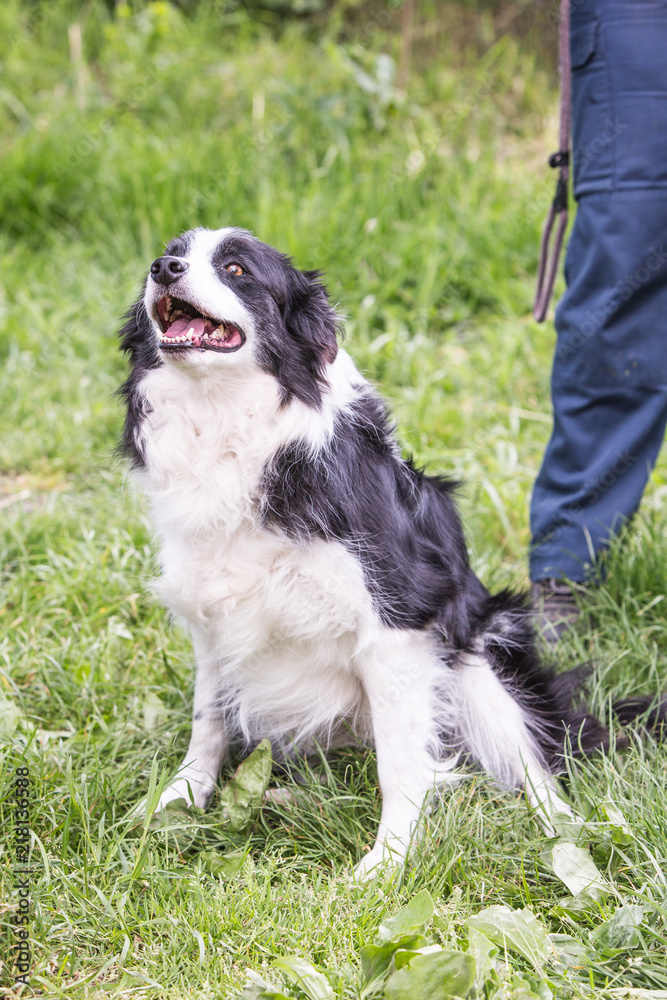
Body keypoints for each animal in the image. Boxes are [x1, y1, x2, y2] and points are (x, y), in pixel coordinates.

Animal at [117, 225, 620, 876]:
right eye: (173, 252)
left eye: (235, 269)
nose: (163, 269)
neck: (227, 423)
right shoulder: (211, 616)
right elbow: (208, 721)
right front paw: (177, 803)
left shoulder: (395, 626)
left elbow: (401, 765)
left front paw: (386, 864)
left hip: (482, 658)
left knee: (535, 765)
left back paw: (569, 836)